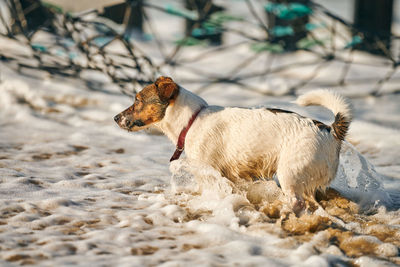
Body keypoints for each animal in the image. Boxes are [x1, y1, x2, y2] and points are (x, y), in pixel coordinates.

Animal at [114, 76, 352, 213]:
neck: (192, 120)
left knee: (296, 202)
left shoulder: (208, 170)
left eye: (137, 100)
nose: (115, 118)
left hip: (290, 173)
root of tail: (330, 130)